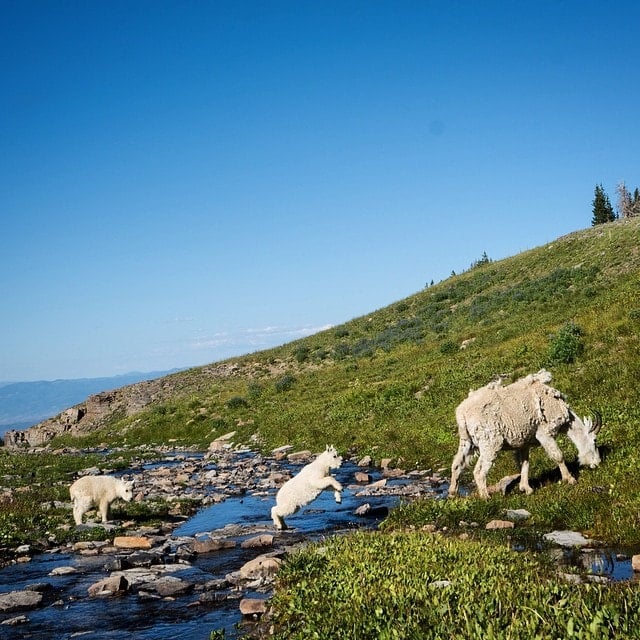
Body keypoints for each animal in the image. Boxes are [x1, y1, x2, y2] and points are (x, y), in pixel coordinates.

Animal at [450, 370, 600, 500]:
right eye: (595, 441)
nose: (597, 464)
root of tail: (461, 414)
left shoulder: (523, 443)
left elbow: (525, 463)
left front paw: (526, 488)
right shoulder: (544, 433)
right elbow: (558, 456)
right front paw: (569, 479)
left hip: (467, 442)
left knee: (457, 464)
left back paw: (452, 493)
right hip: (490, 442)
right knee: (479, 471)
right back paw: (485, 496)